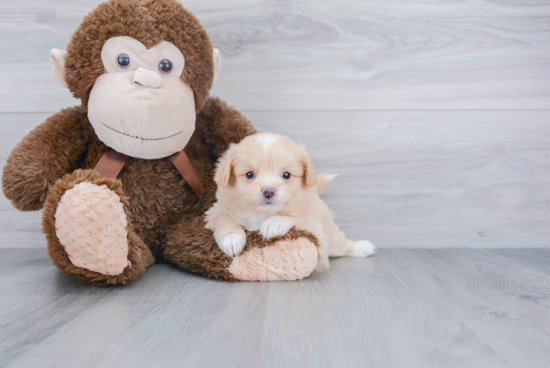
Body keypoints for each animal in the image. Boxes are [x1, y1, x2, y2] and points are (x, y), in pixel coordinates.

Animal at [205, 132, 378, 270]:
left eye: (286, 175)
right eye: (249, 174)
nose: (269, 191)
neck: (263, 213)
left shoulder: (314, 224)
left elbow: (296, 218)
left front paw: (274, 223)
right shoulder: (216, 211)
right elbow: (225, 218)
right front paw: (231, 238)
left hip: (331, 235)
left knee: (341, 244)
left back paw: (363, 247)